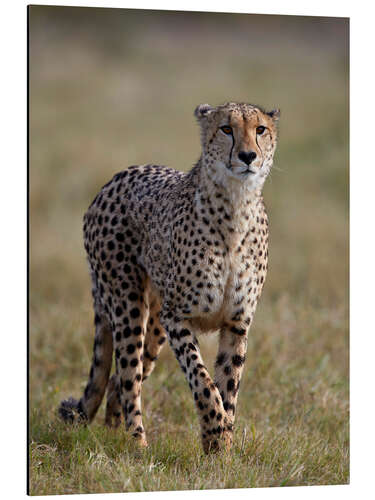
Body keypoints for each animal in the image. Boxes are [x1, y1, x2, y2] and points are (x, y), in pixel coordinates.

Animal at [58, 101, 280, 454]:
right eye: (226, 129)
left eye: (260, 129)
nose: (248, 156)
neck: (235, 208)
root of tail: (116, 178)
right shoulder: (177, 316)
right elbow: (204, 382)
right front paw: (214, 431)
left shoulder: (236, 323)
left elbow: (228, 387)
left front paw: (222, 449)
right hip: (129, 306)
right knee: (128, 377)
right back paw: (137, 445)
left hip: (155, 325)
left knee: (119, 380)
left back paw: (113, 433)